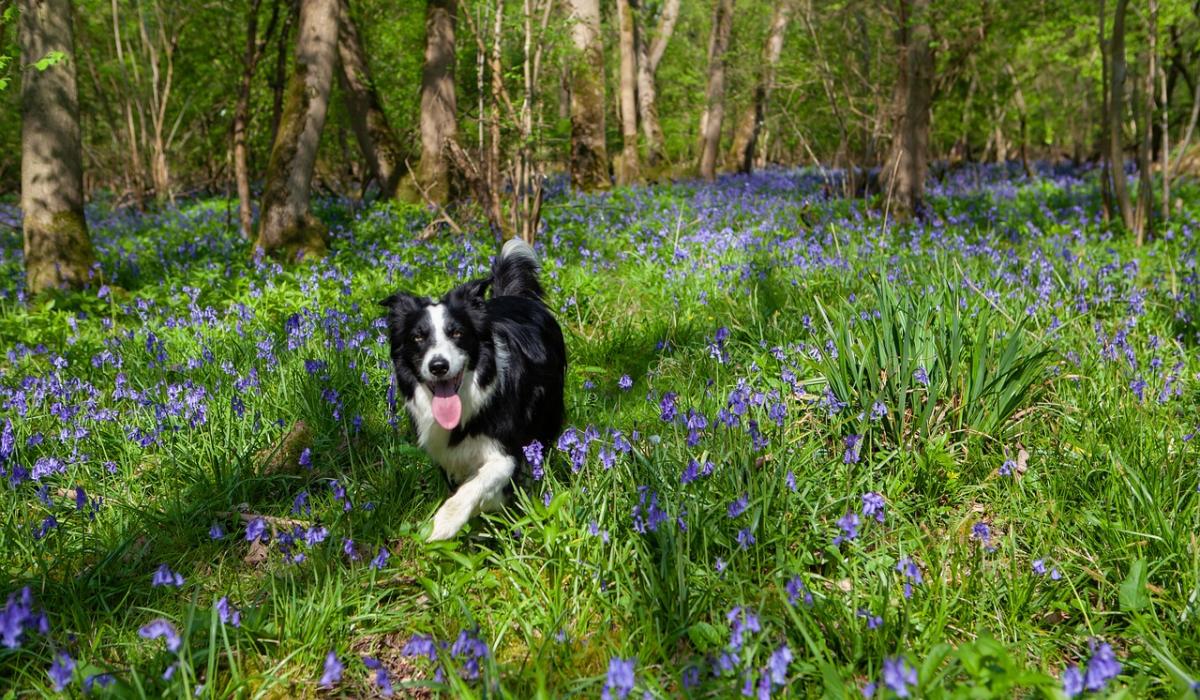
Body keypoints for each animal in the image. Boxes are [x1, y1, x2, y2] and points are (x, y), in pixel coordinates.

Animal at [384, 241, 571, 542]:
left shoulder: (507, 450)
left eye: (457, 333)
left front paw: (445, 522)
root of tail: (514, 296)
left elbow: (478, 483)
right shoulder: (445, 455)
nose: (438, 366)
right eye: (418, 337)